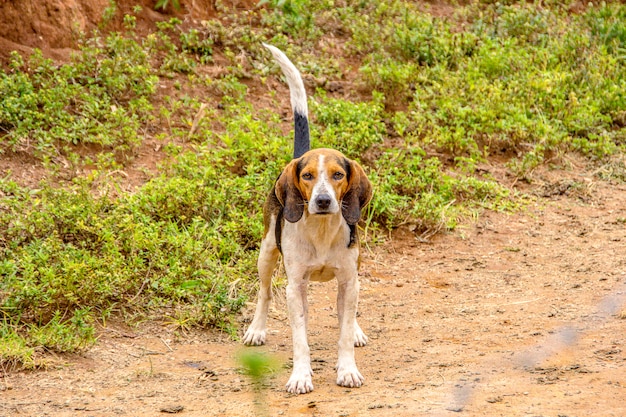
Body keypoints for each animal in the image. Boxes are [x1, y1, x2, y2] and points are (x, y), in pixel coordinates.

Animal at [241, 44, 370, 394]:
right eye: (308, 176)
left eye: (338, 175)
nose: (323, 201)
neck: (321, 232)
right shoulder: (295, 286)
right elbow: (300, 338)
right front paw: (300, 375)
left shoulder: (348, 279)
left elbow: (343, 332)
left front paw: (347, 369)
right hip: (266, 253)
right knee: (264, 293)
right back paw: (257, 329)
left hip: (352, 275)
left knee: (348, 310)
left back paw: (355, 329)